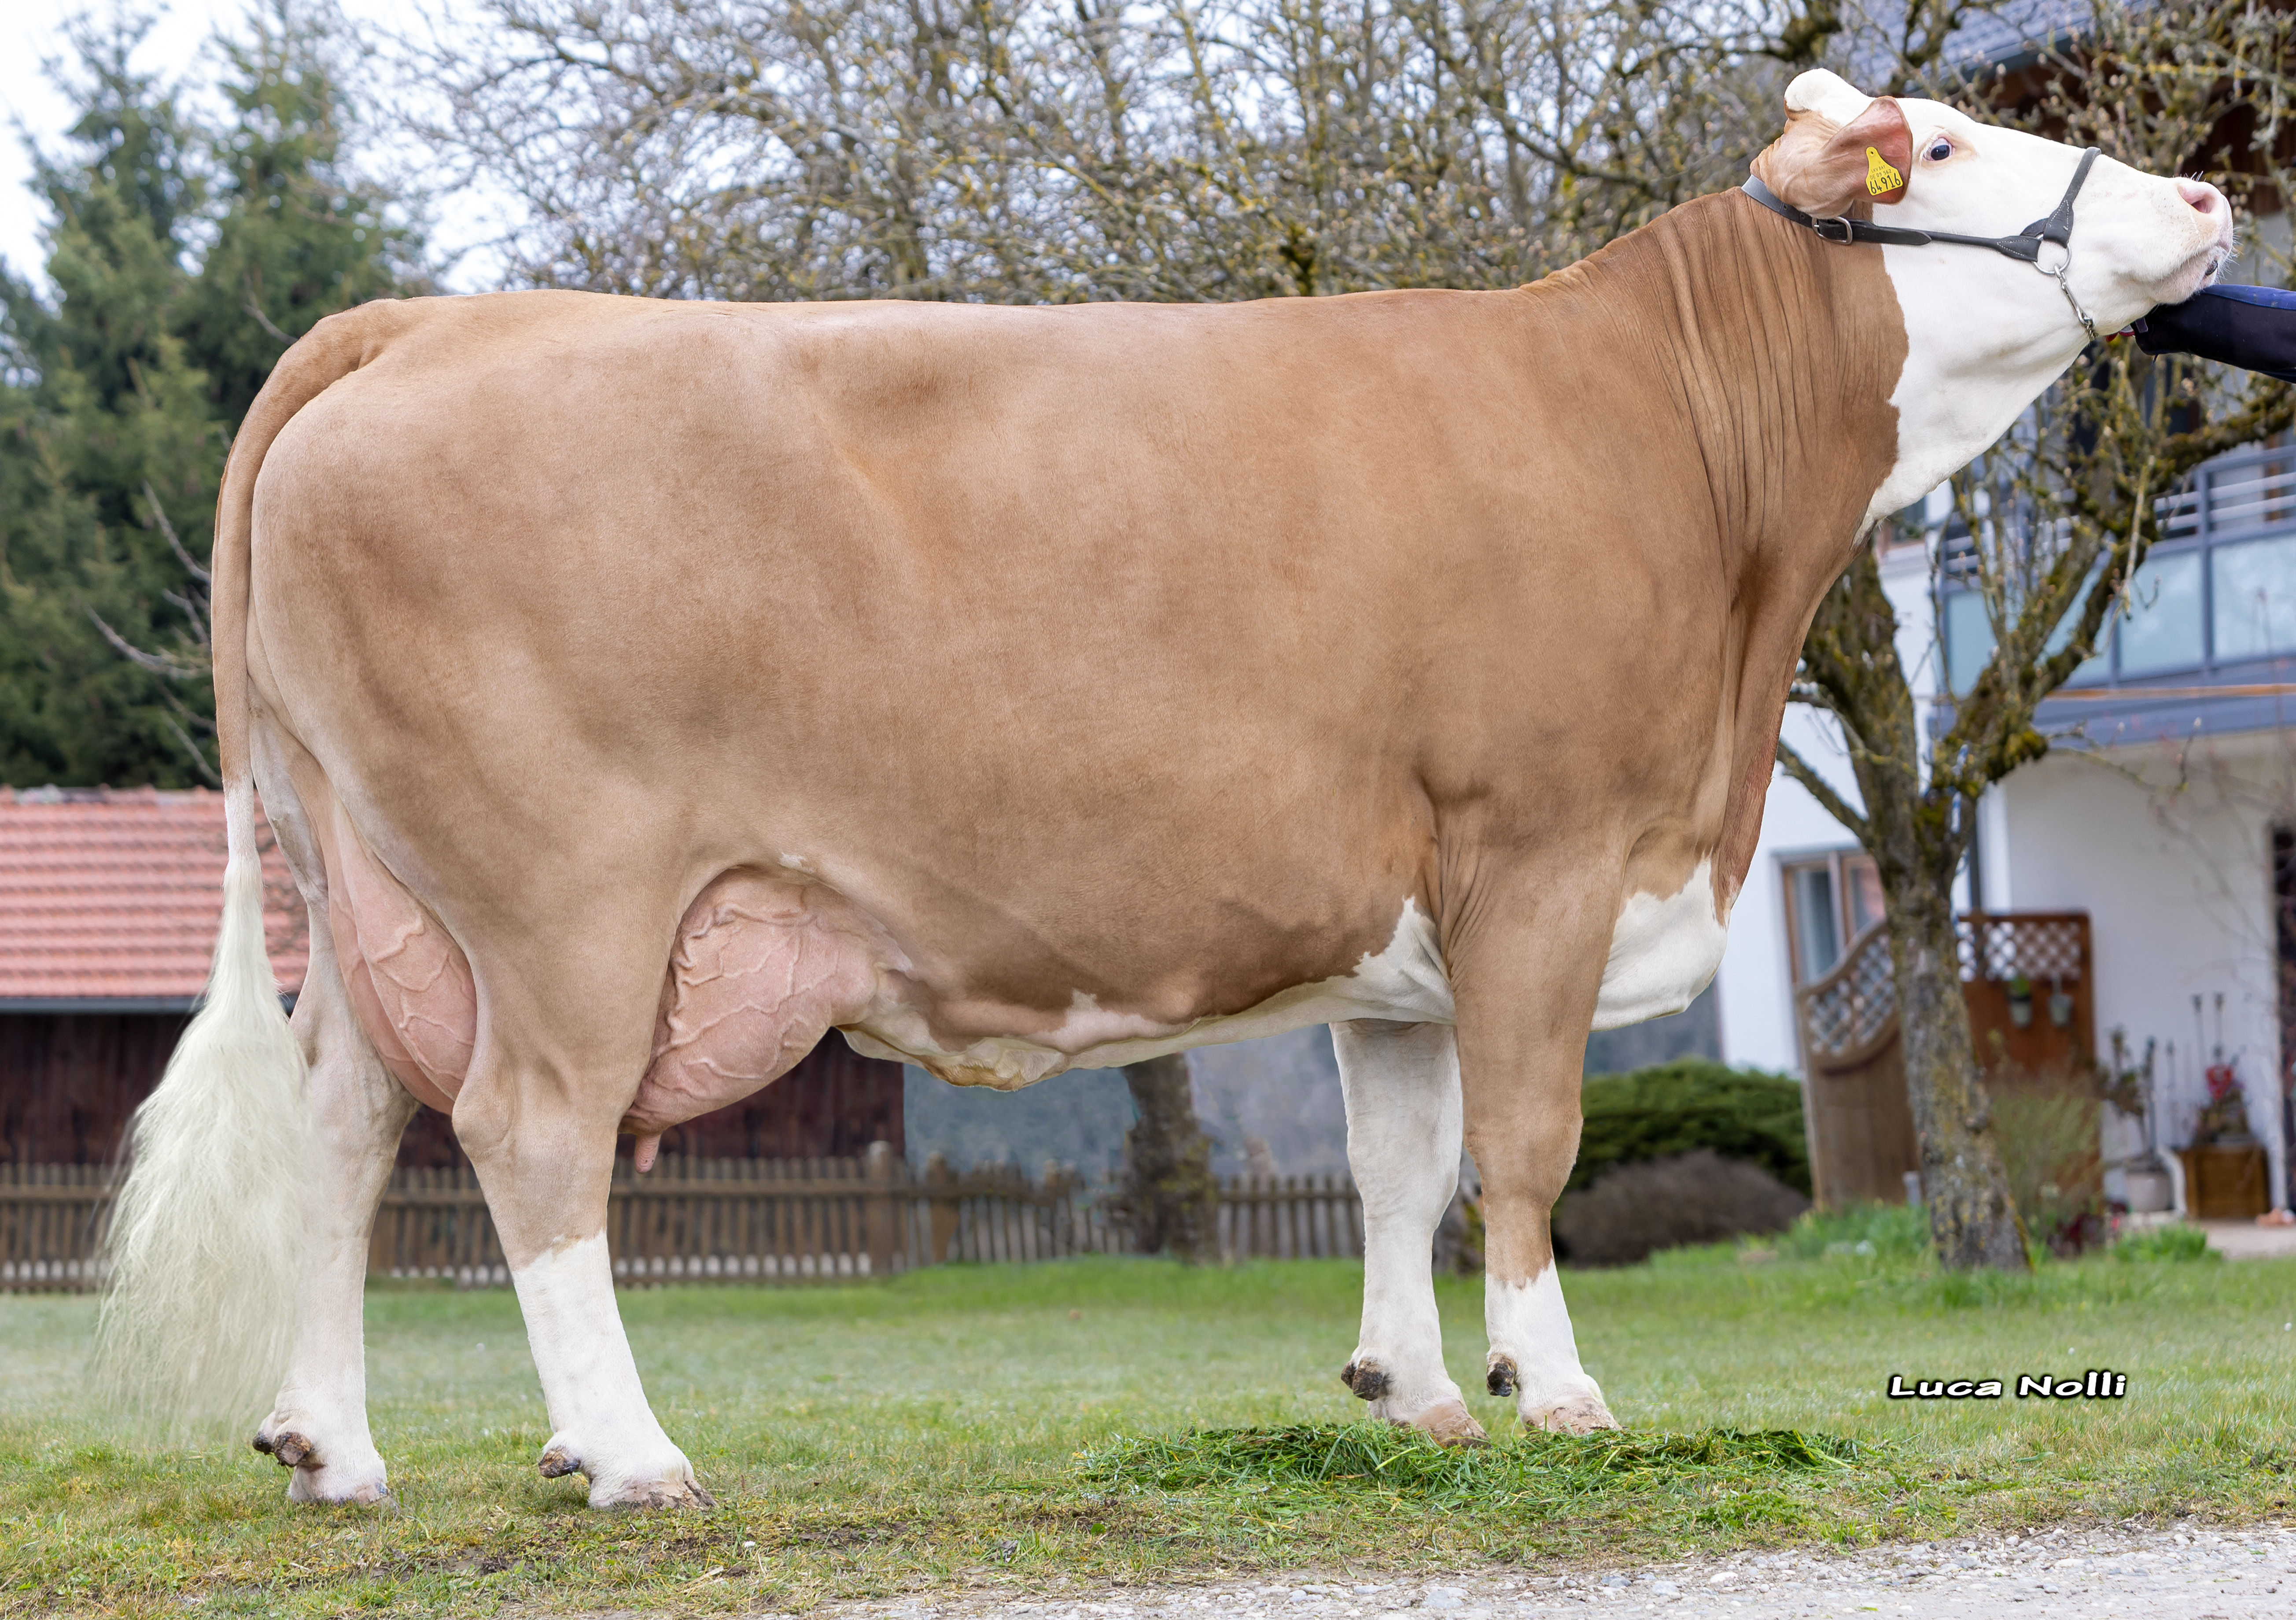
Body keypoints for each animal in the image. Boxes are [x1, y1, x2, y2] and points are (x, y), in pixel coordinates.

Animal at [96, 69, 2229, 1509]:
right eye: (1937, 150)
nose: (2210, 193)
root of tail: (426, 321)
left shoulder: (1408, 931)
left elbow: (1401, 1159)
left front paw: (1412, 1392)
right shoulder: (1541, 857)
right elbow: (1529, 1150)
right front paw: (1555, 1390)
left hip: (372, 890)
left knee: (346, 1123)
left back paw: (336, 1448)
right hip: (564, 904)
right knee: (526, 1136)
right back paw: (627, 1453)